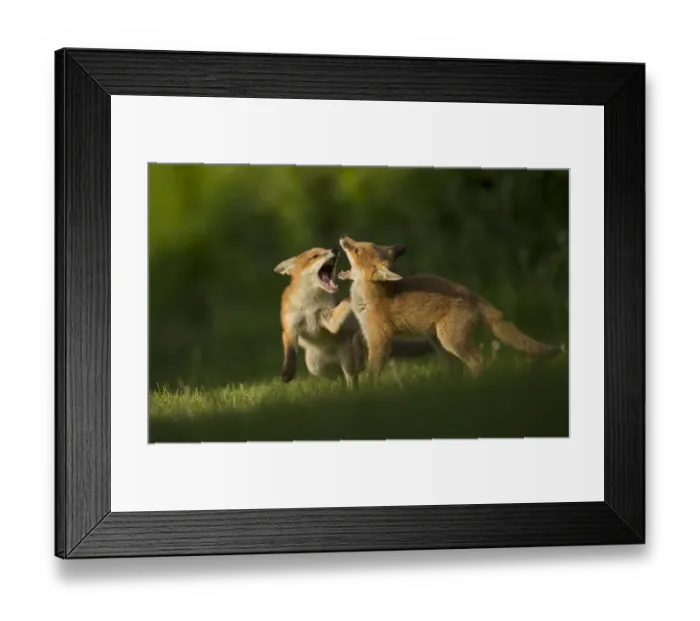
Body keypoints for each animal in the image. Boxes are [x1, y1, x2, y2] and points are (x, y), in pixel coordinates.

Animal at [274, 246, 433, 388]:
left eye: (325, 250)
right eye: (315, 256)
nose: (335, 250)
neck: (311, 305)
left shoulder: (328, 319)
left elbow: (342, 308)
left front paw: (351, 297)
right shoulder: (290, 326)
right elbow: (289, 350)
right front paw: (287, 372)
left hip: (346, 358)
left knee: (352, 375)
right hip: (315, 365)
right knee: (338, 375)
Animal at [337, 236, 566, 380]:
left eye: (356, 249)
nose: (343, 237)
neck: (370, 297)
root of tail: (471, 294)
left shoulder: (380, 338)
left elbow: (374, 369)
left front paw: (370, 389)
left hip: (451, 340)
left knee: (477, 360)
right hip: (440, 343)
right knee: (458, 367)